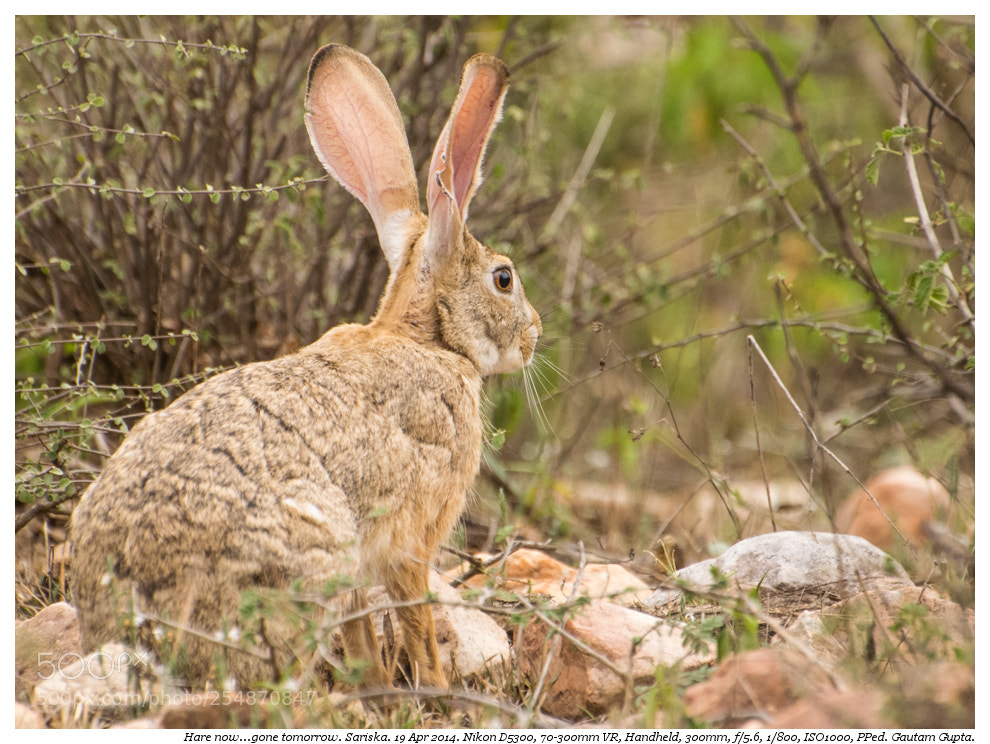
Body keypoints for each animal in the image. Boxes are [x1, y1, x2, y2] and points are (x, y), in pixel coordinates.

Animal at [70, 43, 541, 691]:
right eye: (504, 279)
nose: (536, 333)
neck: (429, 339)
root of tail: (131, 619)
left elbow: (364, 631)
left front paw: (377, 685)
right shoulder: (411, 539)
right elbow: (416, 620)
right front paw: (438, 692)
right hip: (305, 560)